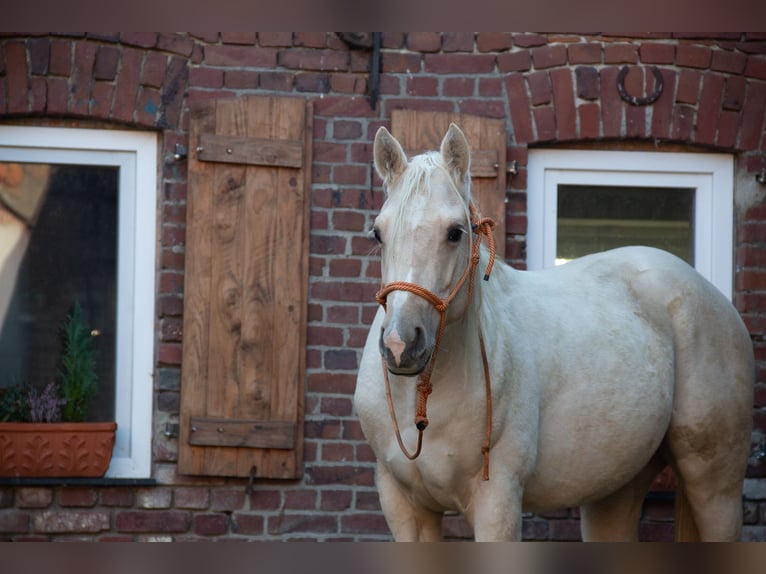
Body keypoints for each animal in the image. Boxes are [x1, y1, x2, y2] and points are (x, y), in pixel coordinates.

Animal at [356, 124, 760, 544]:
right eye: (378, 234)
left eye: (455, 233)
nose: (401, 344)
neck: (422, 401)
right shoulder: (405, 507)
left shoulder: (497, 502)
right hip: (617, 486)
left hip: (714, 484)